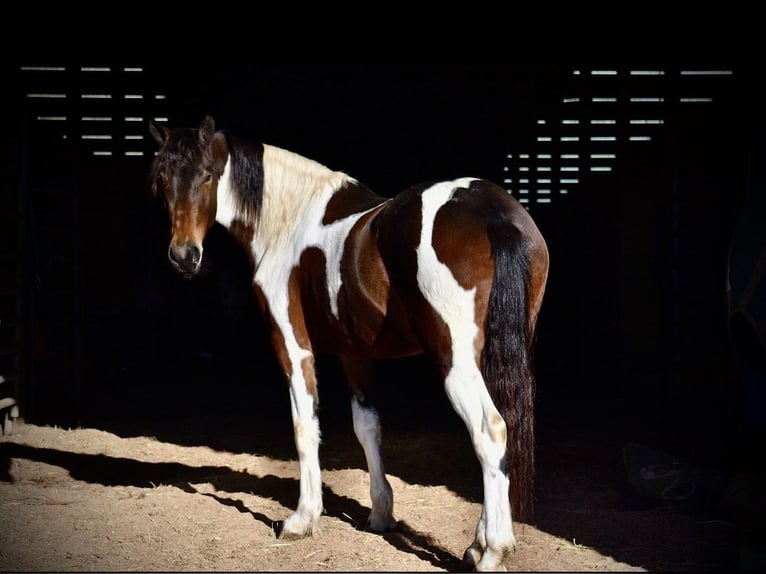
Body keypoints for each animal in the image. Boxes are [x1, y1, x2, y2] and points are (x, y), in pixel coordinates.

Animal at [147, 113, 548, 572]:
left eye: (208, 175)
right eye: (161, 180)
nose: (184, 257)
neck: (289, 219)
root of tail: (492, 214)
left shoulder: (292, 344)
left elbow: (304, 425)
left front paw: (303, 518)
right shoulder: (355, 353)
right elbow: (367, 427)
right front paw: (380, 514)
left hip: (455, 361)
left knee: (489, 429)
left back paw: (494, 550)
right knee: (501, 431)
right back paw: (478, 544)